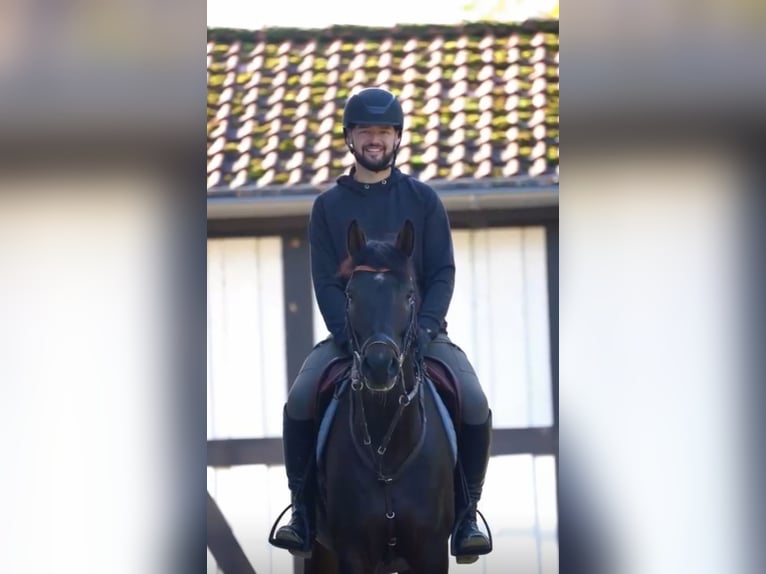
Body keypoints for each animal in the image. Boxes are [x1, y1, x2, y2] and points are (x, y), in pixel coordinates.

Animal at [308, 218, 462, 572]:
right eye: (350, 296)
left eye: (409, 295)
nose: (379, 366)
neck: (387, 451)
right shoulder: (351, 551)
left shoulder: (432, 550)